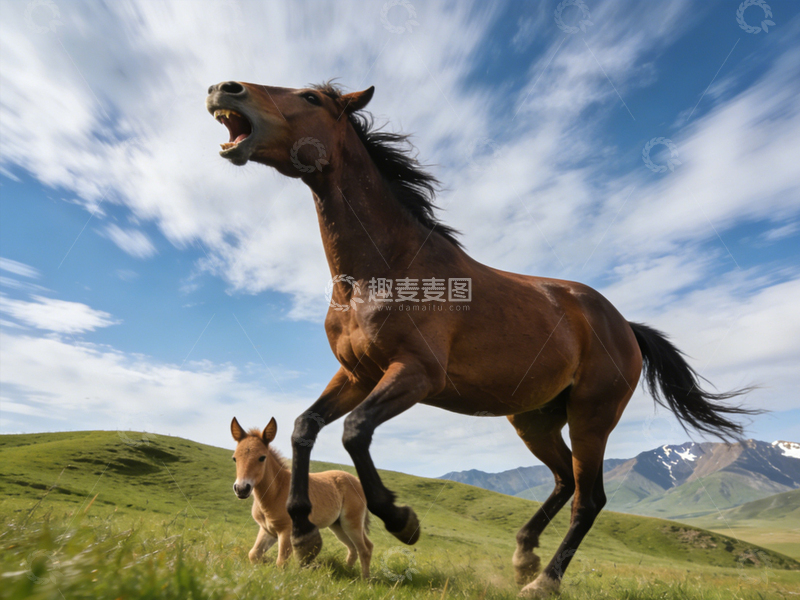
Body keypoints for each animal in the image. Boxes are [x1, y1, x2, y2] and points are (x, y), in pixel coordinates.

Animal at [230, 416, 372, 578]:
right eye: (235, 458)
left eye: (262, 457)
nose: (241, 489)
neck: (276, 492)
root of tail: (357, 482)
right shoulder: (268, 530)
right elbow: (253, 554)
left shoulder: (286, 531)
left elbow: (281, 562)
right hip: (338, 525)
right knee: (353, 549)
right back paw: (348, 573)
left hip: (351, 523)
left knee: (365, 549)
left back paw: (365, 580)